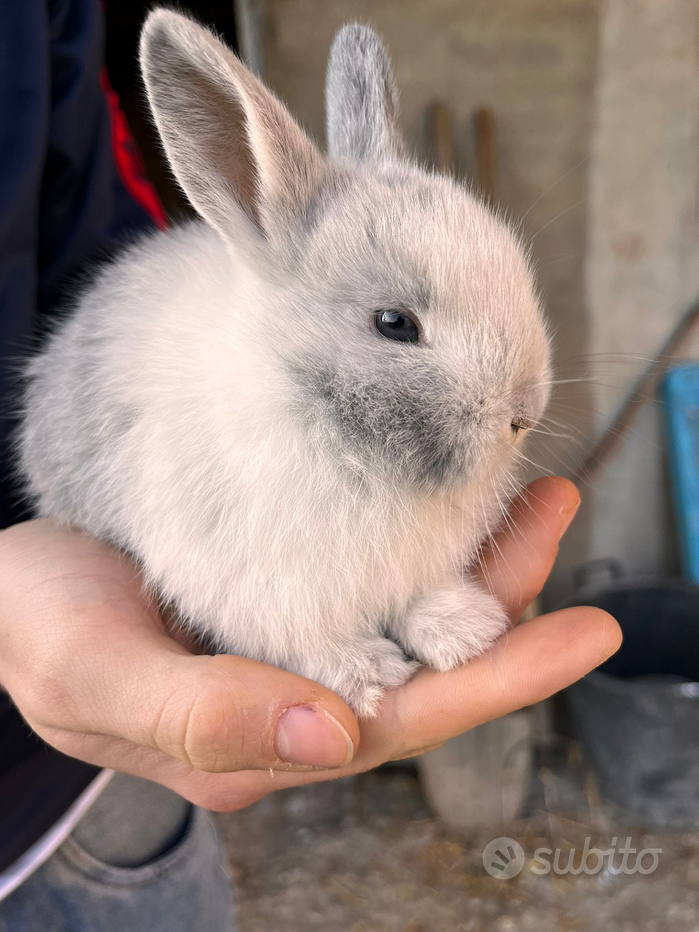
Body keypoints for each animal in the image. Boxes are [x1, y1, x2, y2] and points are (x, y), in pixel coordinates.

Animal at [17, 10, 552, 716]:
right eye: (395, 324)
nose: (525, 413)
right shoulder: (259, 590)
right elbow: (308, 643)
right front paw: (370, 674)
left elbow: (418, 600)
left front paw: (465, 632)